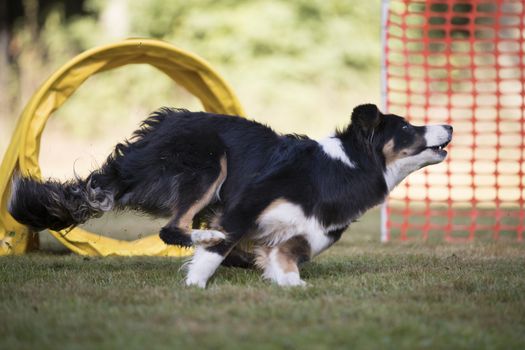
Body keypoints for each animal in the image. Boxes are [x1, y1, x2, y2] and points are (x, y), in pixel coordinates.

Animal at [8, 103, 450, 288]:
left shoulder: (307, 232)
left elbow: (286, 258)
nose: (449, 125)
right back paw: (208, 238)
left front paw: (291, 284)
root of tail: (157, 128)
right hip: (208, 166)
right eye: (407, 128)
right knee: (175, 228)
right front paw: (196, 285)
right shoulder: (246, 203)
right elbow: (216, 251)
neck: (346, 167)